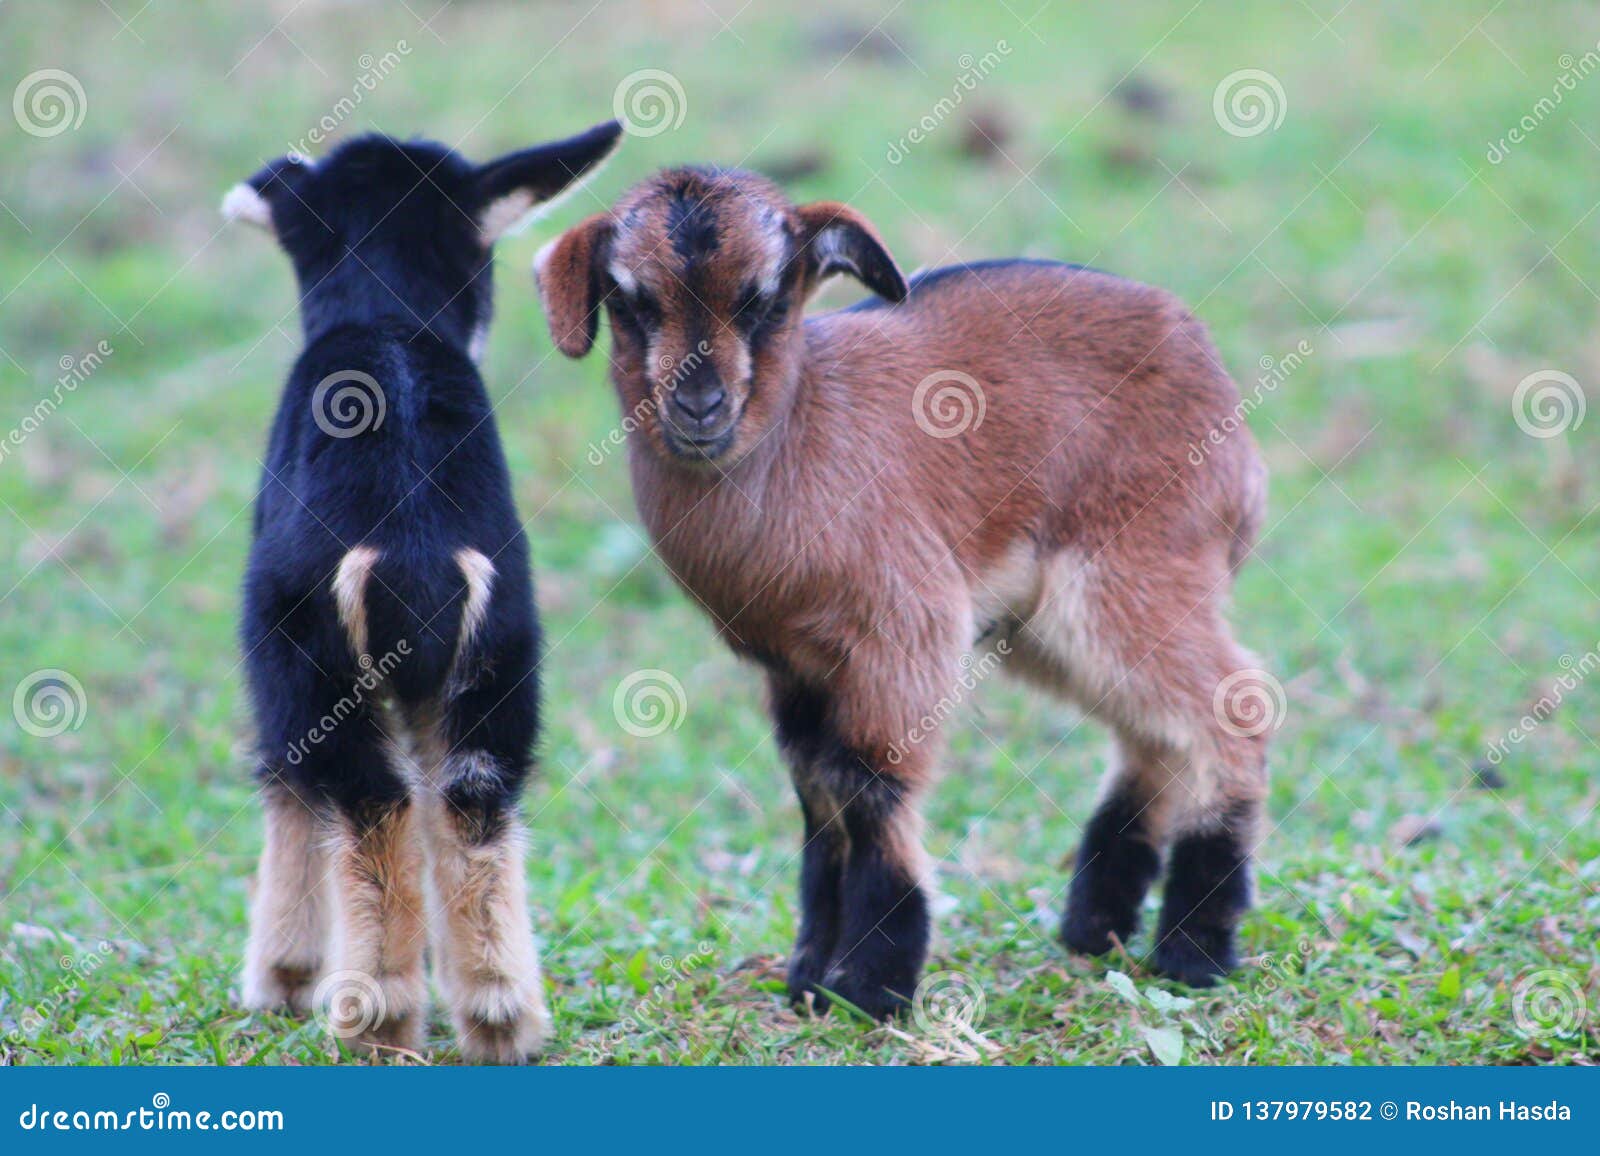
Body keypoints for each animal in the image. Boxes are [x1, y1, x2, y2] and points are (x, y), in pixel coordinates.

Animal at [223, 120, 621, 1061]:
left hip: (312, 665)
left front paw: (281, 982)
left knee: (373, 805)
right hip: (501, 659)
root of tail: (413, 548)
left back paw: (373, 1017)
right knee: (473, 807)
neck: (386, 312)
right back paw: (502, 1017)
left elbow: (290, 801)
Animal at [535, 167, 1271, 1018]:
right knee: (1153, 733)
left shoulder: (904, 631)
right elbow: (818, 790)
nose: (699, 407)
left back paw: (1194, 950)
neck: (800, 442)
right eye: (629, 300)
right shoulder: (796, 667)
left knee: (1235, 704)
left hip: (1130, 573)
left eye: (768, 300)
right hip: (1049, 624)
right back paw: (1099, 927)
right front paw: (811, 978)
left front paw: (873, 984)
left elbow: (871, 783)